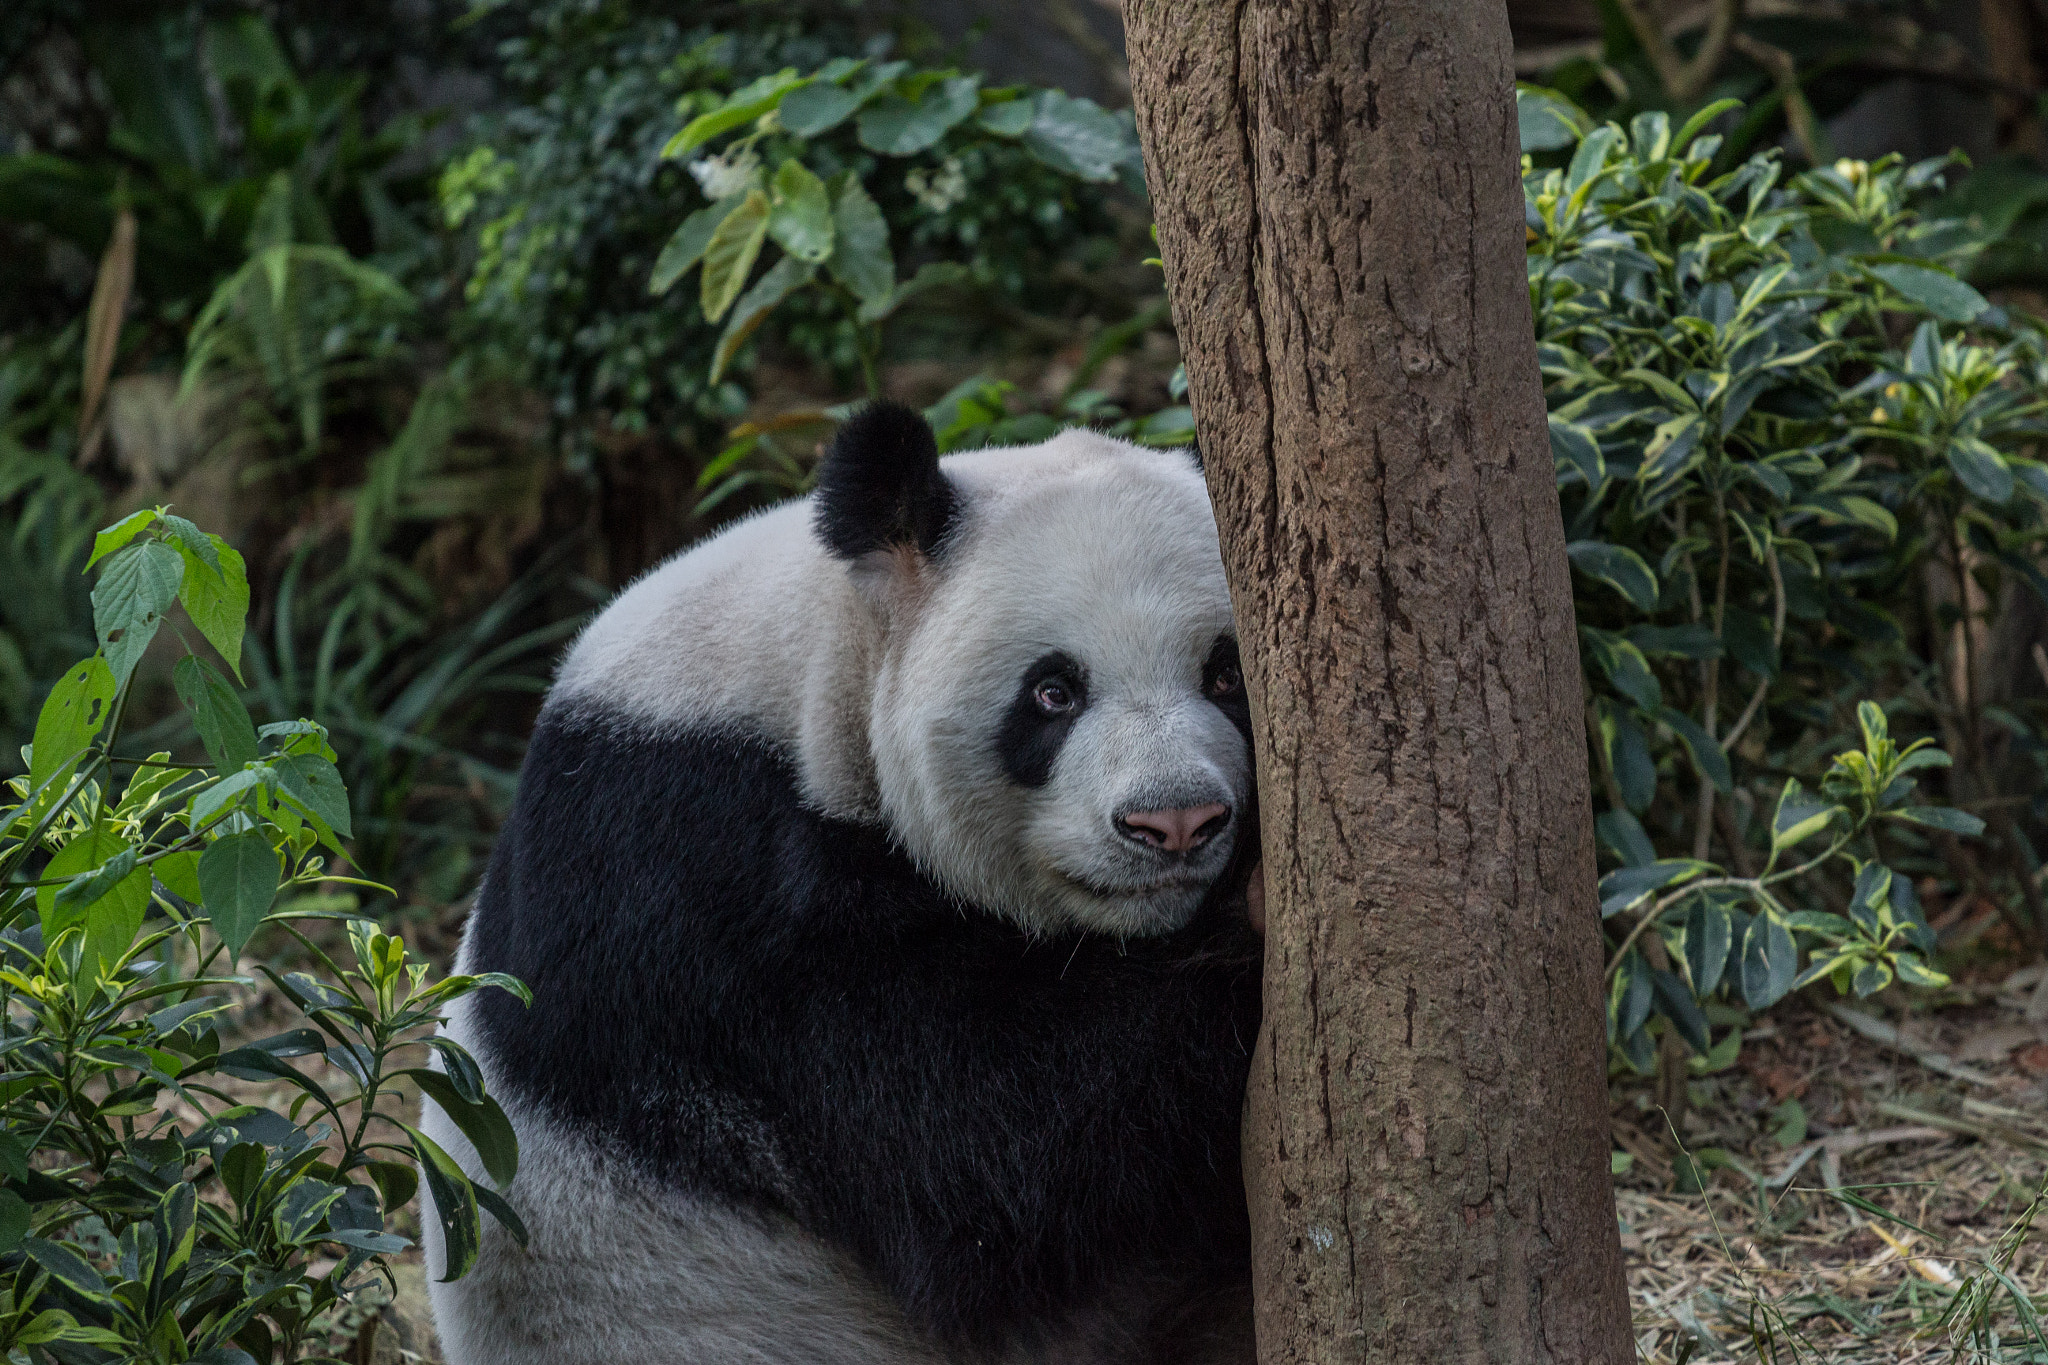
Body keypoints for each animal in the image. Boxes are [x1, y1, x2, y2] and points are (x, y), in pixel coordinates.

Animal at [421, 405, 1261, 1365]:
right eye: (1053, 692)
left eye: (1225, 674)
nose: (1176, 822)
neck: (818, 654)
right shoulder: (705, 900)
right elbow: (983, 1163)